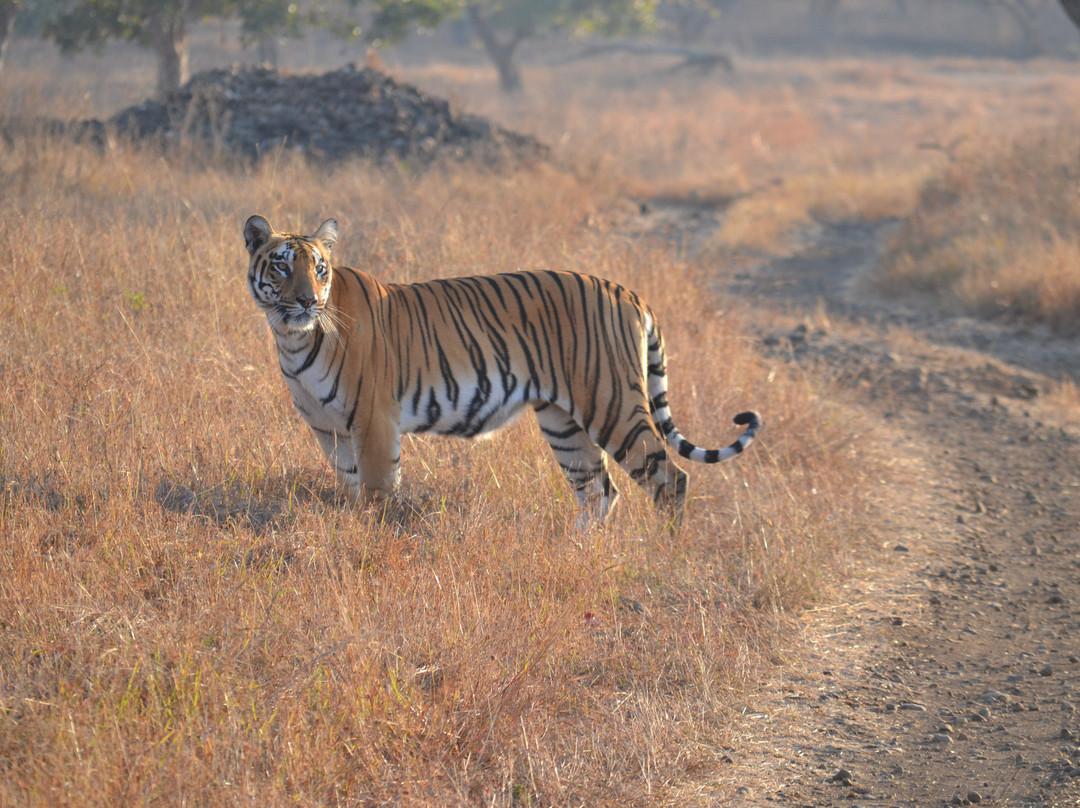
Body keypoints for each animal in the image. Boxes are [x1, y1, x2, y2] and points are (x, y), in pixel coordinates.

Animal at [244, 211, 760, 527]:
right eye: (282, 267)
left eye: (320, 268)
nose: (307, 300)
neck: (294, 340)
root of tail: (627, 291)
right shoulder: (328, 431)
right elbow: (350, 490)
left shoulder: (374, 422)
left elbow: (375, 494)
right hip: (563, 421)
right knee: (598, 490)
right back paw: (578, 555)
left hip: (612, 404)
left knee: (669, 478)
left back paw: (665, 554)